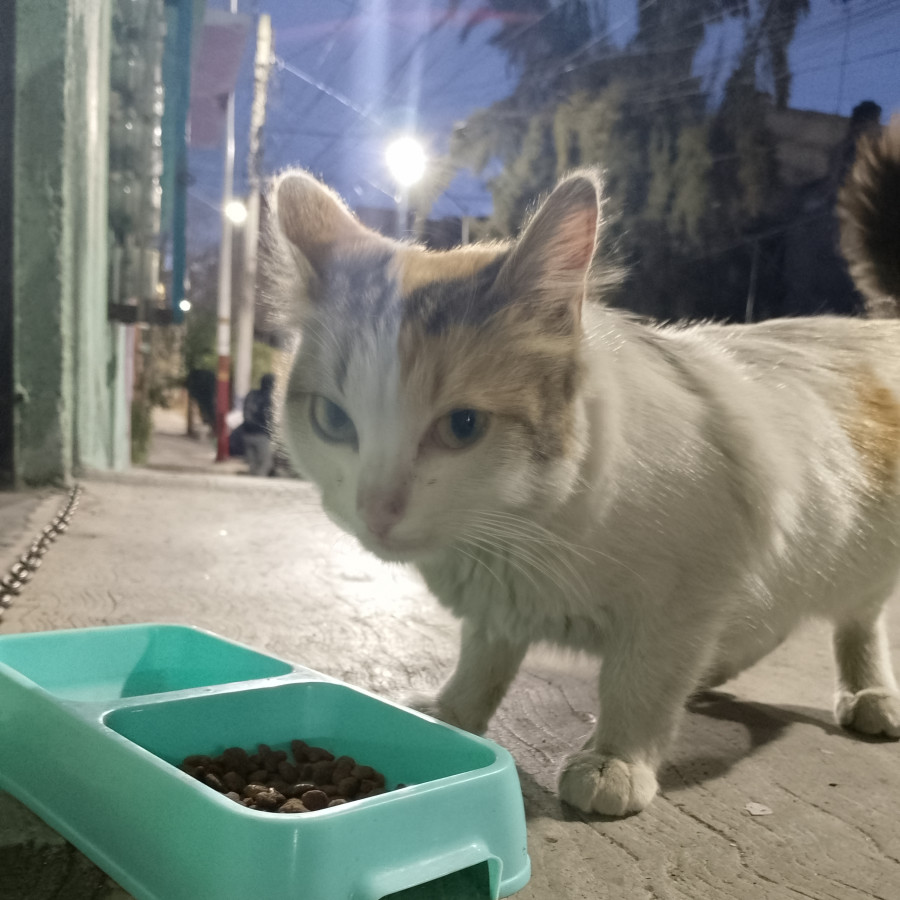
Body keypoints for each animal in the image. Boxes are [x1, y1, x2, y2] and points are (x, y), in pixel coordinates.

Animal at [270, 118, 900, 816]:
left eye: (463, 427)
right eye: (333, 420)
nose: (376, 511)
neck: (521, 531)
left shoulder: (686, 595)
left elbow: (640, 682)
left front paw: (615, 759)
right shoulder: (497, 608)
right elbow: (484, 660)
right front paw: (452, 713)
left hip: (857, 561)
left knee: (857, 621)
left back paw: (869, 694)